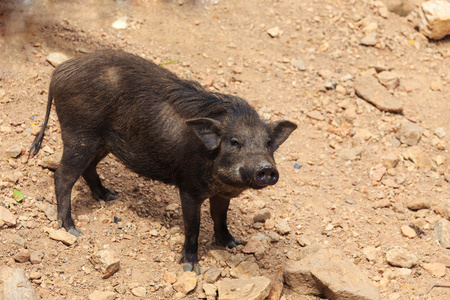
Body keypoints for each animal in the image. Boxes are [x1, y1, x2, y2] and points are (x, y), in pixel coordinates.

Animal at [28, 50, 296, 274]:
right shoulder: (188, 189)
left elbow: (220, 216)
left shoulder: (221, 193)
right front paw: (191, 268)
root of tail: (60, 71)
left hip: (101, 142)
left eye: (268, 143)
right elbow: (193, 226)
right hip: (79, 135)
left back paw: (110, 196)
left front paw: (233, 244)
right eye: (234, 142)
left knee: (89, 169)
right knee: (62, 176)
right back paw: (72, 229)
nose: (266, 168)